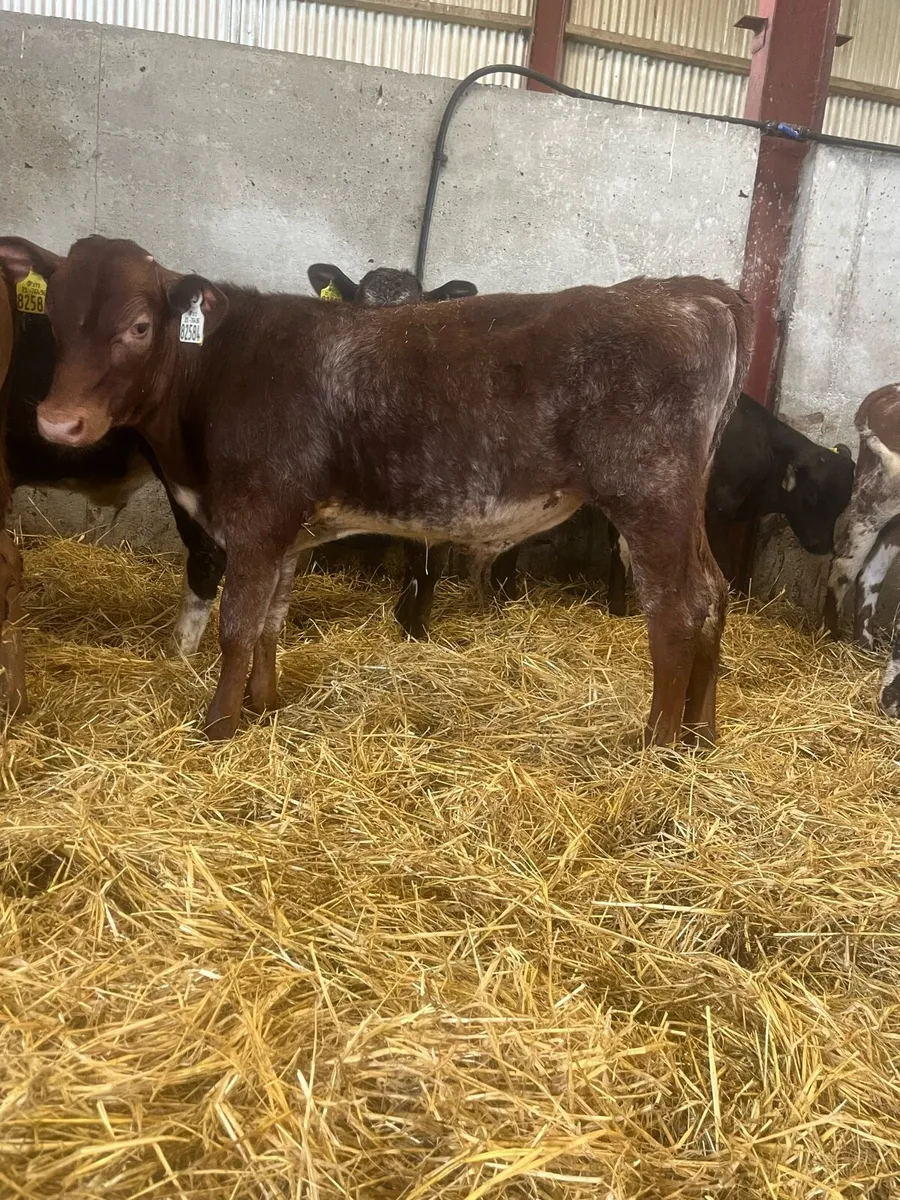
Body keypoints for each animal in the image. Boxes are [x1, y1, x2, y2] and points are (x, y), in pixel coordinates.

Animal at [0, 234, 752, 747]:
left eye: (139, 325)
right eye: (56, 318)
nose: (58, 421)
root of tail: (693, 291)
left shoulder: (258, 515)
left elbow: (237, 626)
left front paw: (217, 725)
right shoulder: (291, 528)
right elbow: (271, 620)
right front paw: (264, 707)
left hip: (649, 494)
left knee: (678, 610)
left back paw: (655, 744)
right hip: (683, 503)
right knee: (715, 594)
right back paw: (701, 737)